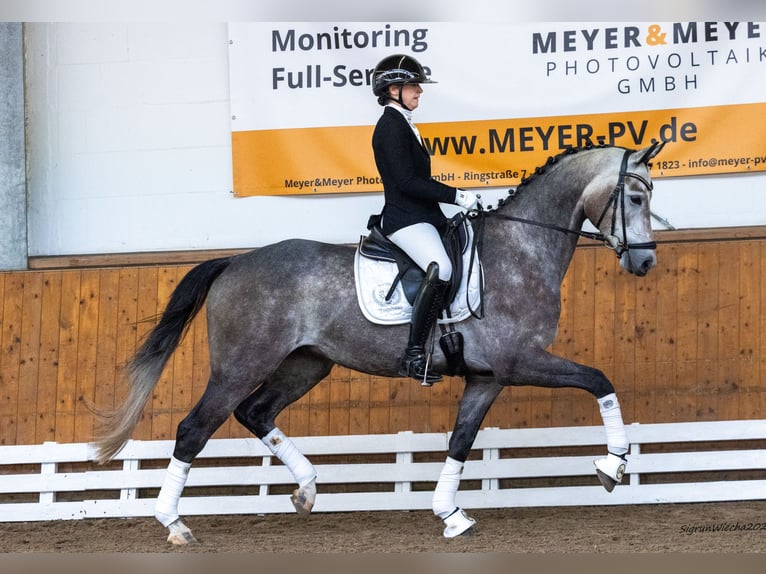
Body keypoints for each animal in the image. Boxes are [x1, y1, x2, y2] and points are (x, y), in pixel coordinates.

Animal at [94, 141, 665, 544]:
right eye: (636, 197)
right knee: (195, 428)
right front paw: (613, 466)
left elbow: (461, 441)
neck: (521, 247)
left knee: (255, 412)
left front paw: (450, 514)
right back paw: (173, 523)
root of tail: (235, 261)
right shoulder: (520, 361)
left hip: (307, 364)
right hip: (241, 364)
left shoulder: (487, 377)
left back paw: (307, 489)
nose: (645, 263)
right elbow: (599, 380)